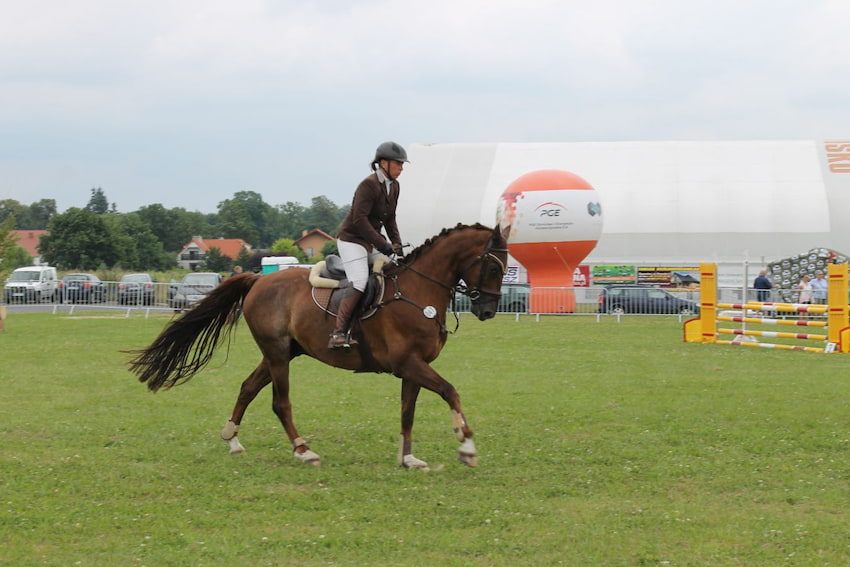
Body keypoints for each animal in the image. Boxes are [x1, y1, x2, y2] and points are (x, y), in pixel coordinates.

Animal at [127, 224, 504, 468]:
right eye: (492, 267)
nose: (487, 311)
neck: (417, 291)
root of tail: (258, 280)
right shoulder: (409, 363)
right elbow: (451, 391)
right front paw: (466, 445)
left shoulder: (414, 367)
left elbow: (407, 412)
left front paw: (408, 458)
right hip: (278, 354)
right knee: (280, 403)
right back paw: (303, 450)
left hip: (283, 352)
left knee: (248, 387)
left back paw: (232, 439)